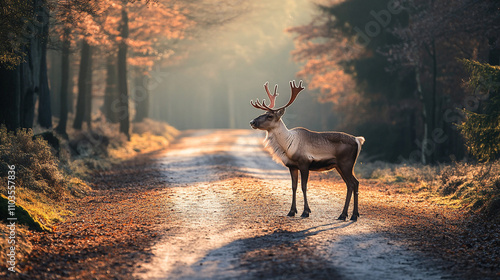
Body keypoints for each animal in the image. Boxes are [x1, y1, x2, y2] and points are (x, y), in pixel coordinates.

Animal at [249, 81, 364, 221]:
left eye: (270, 116)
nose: (252, 122)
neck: (288, 146)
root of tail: (358, 140)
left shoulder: (304, 163)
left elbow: (304, 187)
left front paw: (306, 211)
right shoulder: (292, 166)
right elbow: (294, 187)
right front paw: (292, 211)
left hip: (346, 163)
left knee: (352, 183)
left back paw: (349, 215)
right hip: (339, 166)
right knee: (353, 183)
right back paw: (349, 214)